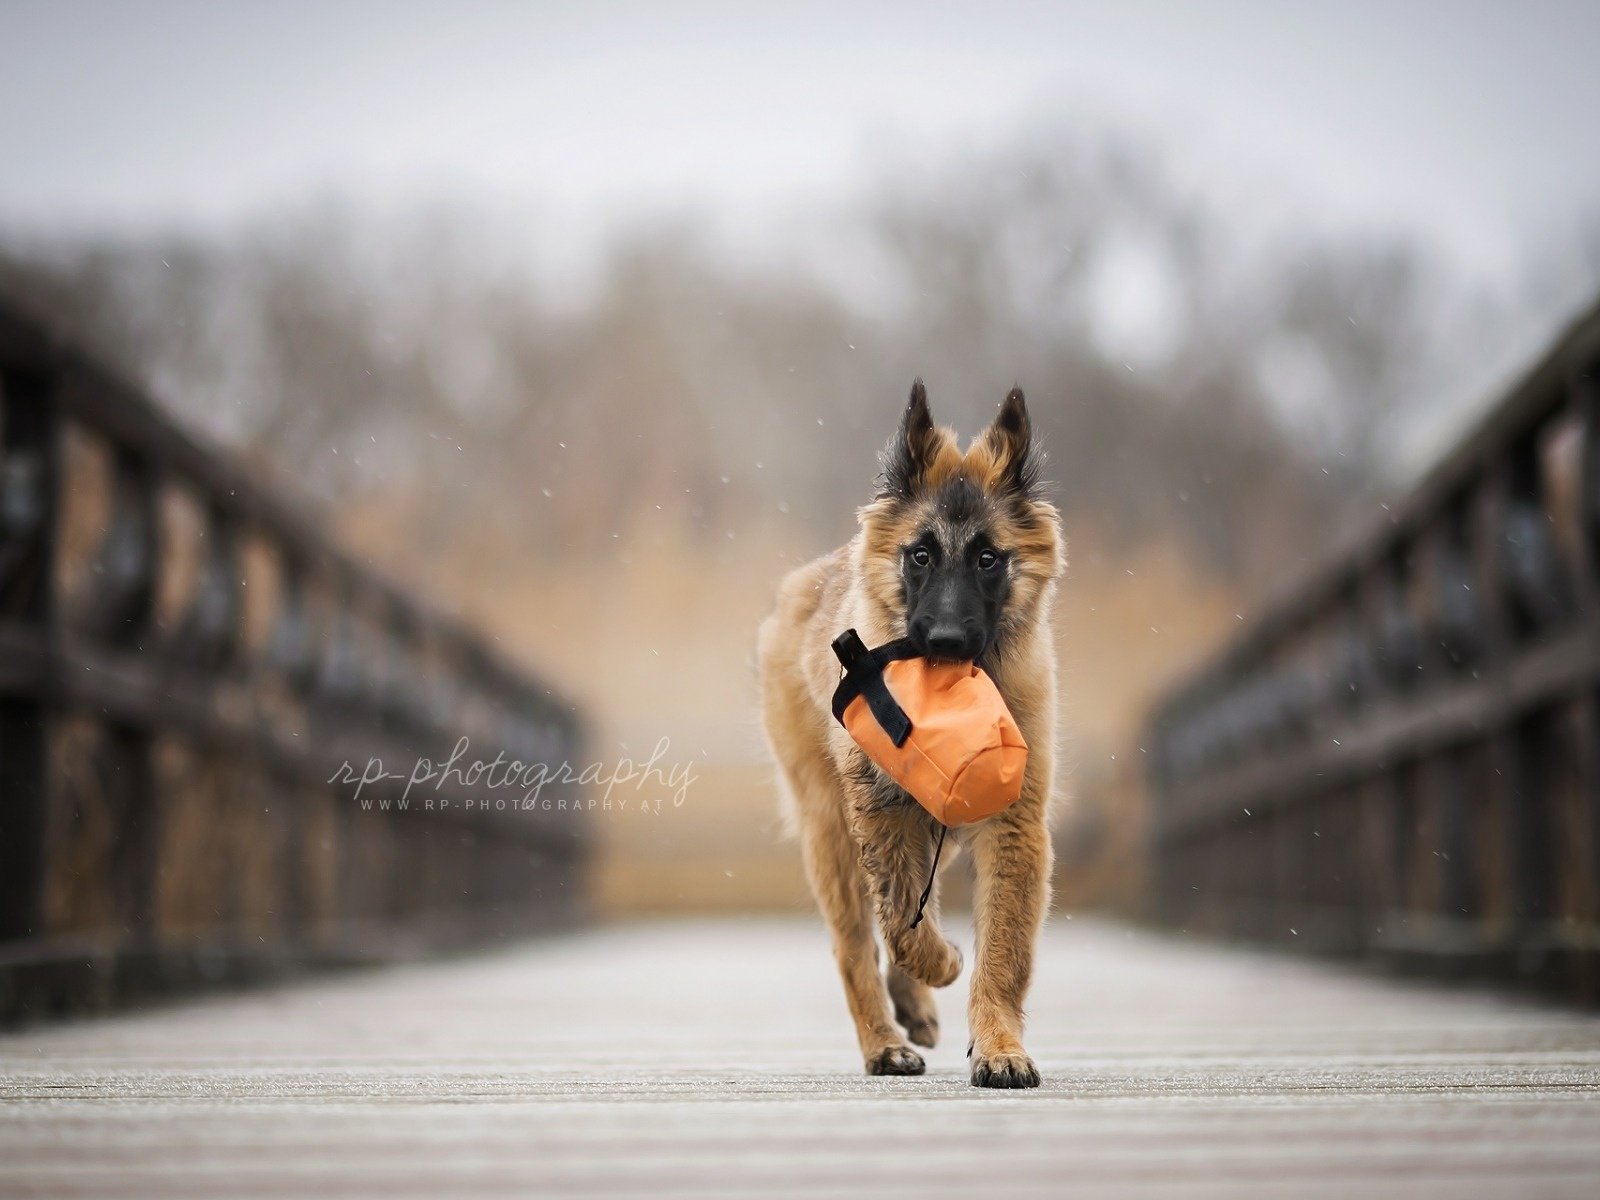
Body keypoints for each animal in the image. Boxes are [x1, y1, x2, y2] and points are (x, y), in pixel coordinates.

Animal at [758, 382, 1062, 1088]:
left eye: (987, 558)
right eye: (920, 555)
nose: (946, 643)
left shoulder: (1012, 825)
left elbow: (1001, 951)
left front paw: (999, 1046)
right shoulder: (882, 813)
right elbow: (900, 923)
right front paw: (944, 963)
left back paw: (913, 1008)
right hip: (829, 832)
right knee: (854, 945)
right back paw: (883, 1042)